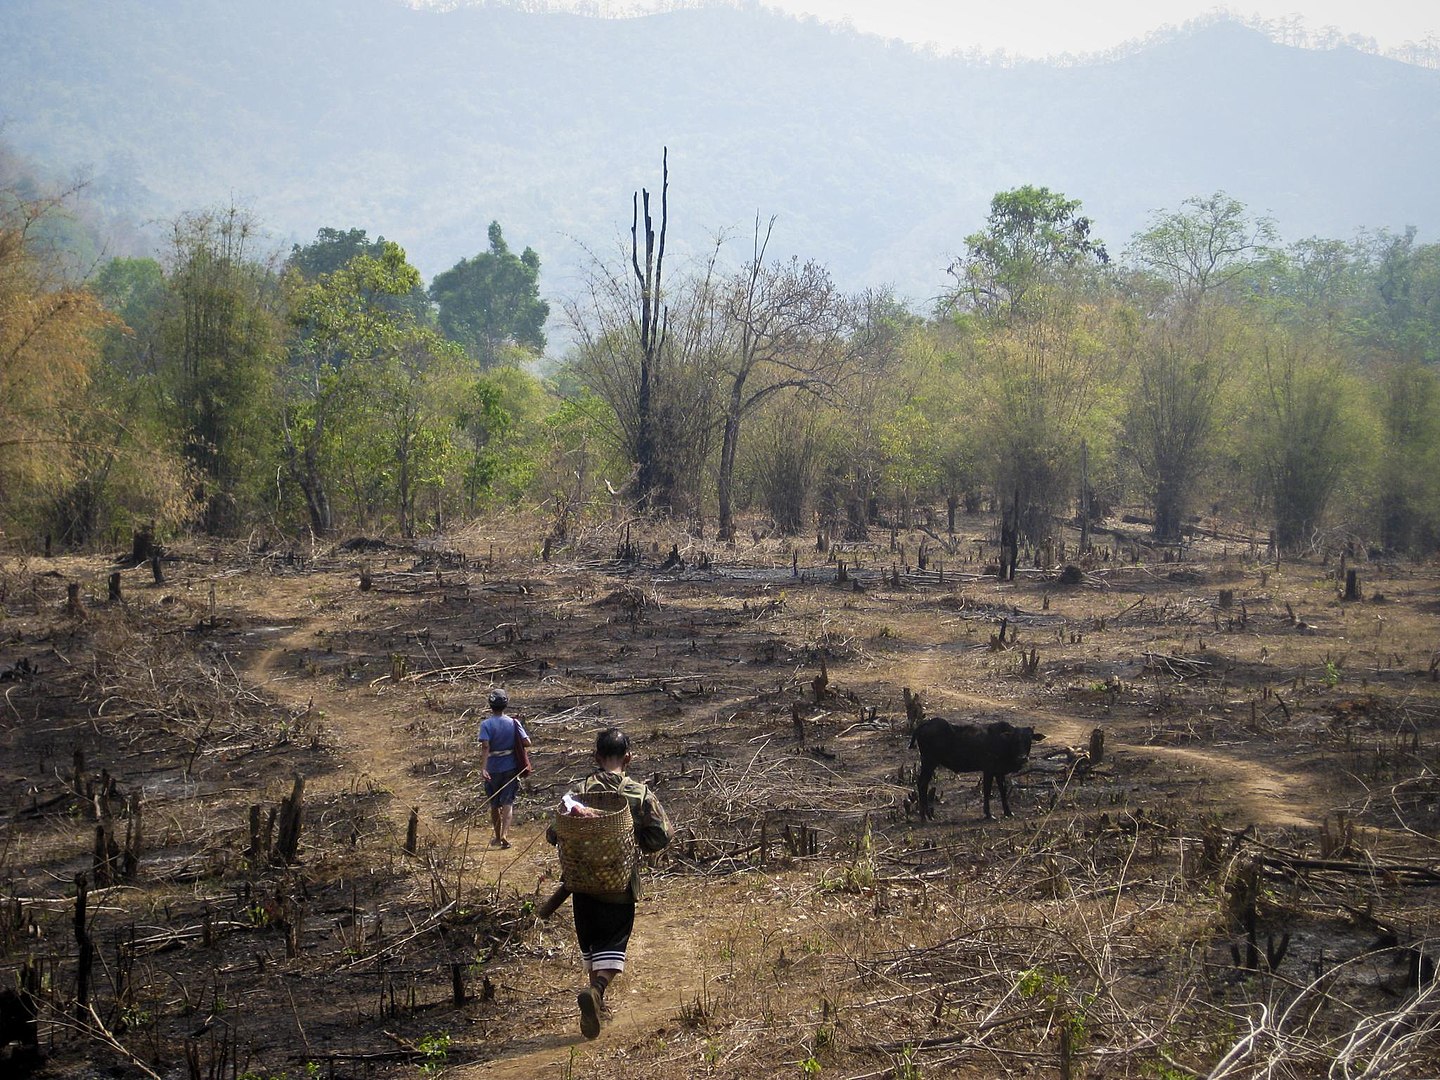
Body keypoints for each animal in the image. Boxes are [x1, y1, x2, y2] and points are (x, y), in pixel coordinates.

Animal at [910, 720, 1048, 817]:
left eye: (1029, 740)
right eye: (1015, 740)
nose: (1023, 758)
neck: (1003, 742)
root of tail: (926, 723)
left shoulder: (999, 772)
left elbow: (1003, 790)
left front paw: (1008, 812)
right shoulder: (989, 770)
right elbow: (987, 790)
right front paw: (988, 814)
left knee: (922, 784)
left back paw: (926, 815)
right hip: (929, 762)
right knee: (922, 784)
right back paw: (926, 816)